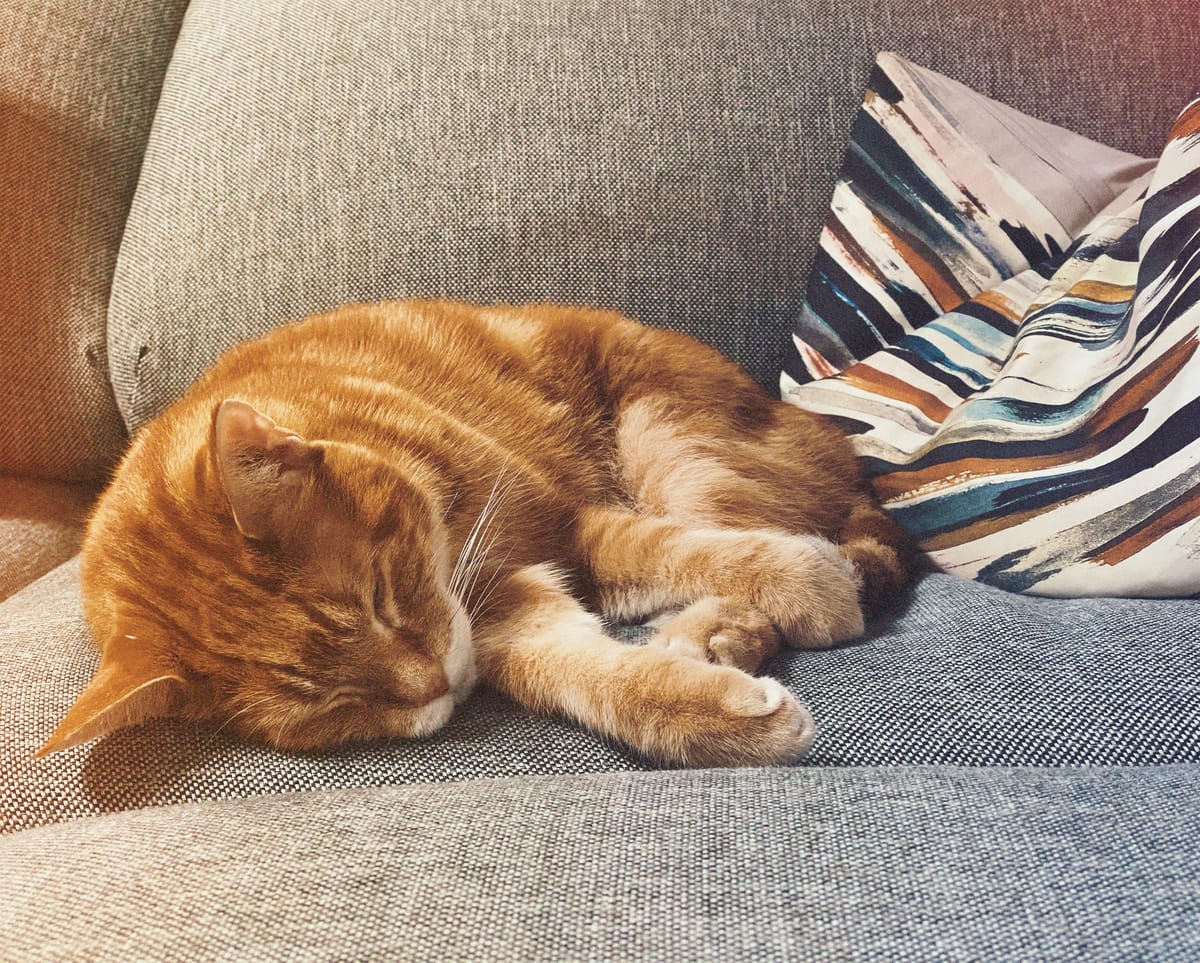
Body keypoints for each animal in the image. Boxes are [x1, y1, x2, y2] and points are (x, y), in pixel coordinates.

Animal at [37, 300, 916, 763]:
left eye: (380, 596)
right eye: (328, 711)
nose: (433, 687)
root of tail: (828, 435)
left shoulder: (566, 528)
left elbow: (681, 550)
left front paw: (807, 585)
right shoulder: (504, 619)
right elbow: (583, 672)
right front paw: (715, 715)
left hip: (668, 436)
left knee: (754, 526)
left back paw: (725, 625)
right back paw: (711, 643)